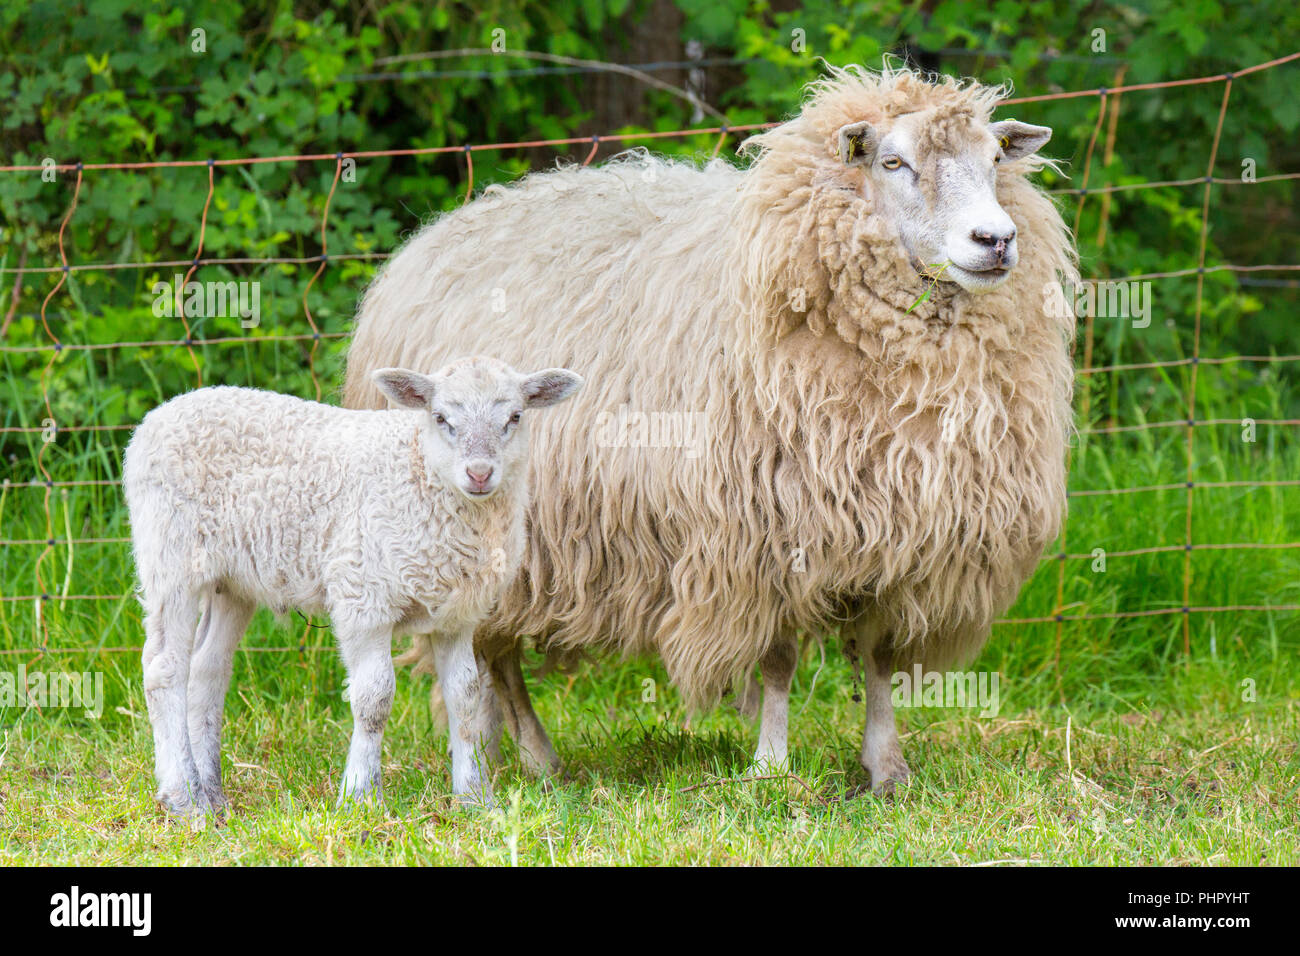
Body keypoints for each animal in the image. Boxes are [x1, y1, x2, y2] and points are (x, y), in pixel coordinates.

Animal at [124, 356, 582, 816]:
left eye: (515, 417)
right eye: (440, 418)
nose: (480, 473)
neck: (419, 472)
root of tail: (159, 416)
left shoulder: (456, 615)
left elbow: (465, 697)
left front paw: (475, 798)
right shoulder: (364, 598)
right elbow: (374, 698)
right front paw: (361, 794)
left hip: (233, 579)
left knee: (208, 667)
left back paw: (213, 793)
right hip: (171, 551)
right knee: (164, 666)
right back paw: (184, 796)